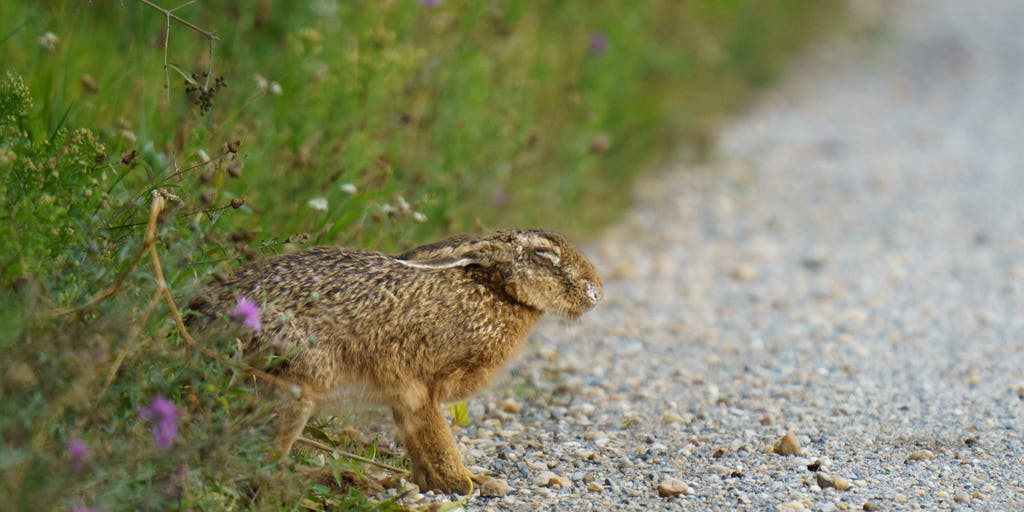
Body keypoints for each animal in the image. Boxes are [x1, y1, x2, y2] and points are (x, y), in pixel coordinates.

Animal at [188, 228, 603, 493]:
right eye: (543, 255)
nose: (597, 291)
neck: (494, 290)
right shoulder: (420, 387)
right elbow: (437, 438)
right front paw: (466, 483)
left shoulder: (405, 395)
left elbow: (419, 444)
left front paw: (441, 483)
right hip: (297, 384)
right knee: (258, 457)